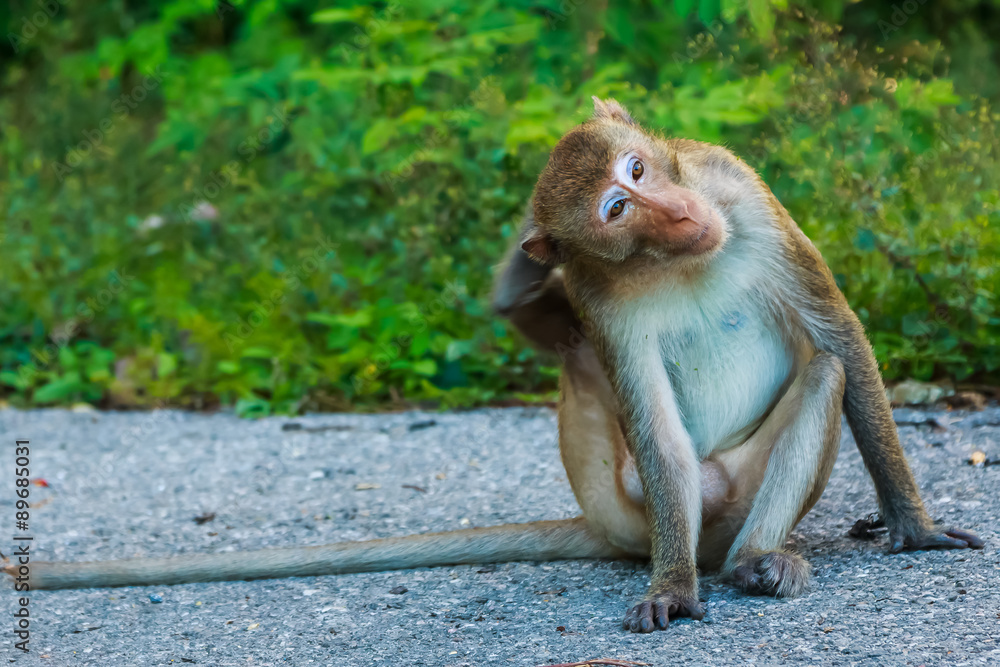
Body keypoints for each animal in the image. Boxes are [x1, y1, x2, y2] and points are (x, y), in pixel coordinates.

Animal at [5, 99, 976, 636]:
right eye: (616, 208)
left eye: (638, 168)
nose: (673, 211)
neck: (676, 259)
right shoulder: (603, 291)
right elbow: (655, 422)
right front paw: (670, 587)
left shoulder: (742, 194)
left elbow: (841, 338)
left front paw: (915, 526)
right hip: (642, 501)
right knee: (607, 391)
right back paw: (707, 564)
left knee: (821, 374)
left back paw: (760, 560)